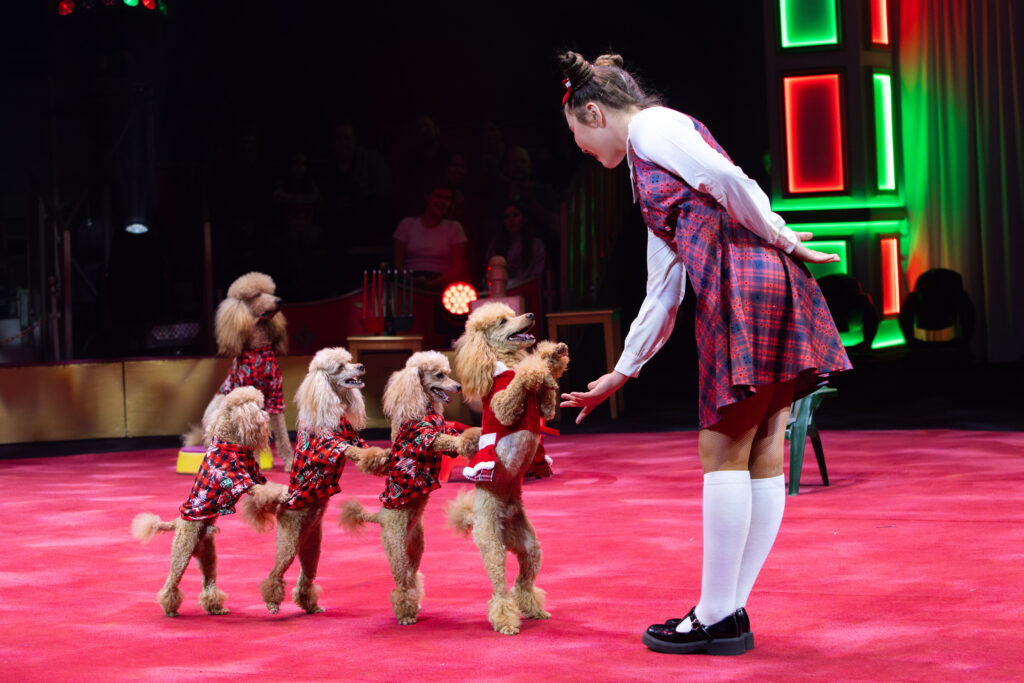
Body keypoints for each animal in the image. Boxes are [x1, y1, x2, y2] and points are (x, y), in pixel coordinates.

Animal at [132, 385, 290, 618]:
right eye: (257, 407)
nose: (266, 414)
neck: (229, 440)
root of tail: (178, 522)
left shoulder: (254, 475)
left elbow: (270, 485)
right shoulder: (241, 480)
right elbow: (267, 489)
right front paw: (285, 494)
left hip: (208, 556)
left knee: (208, 583)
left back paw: (215, 606)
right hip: (181, 553)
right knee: (171, 582)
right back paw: (170, 609)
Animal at [186, 272, 292, 471]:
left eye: (270, 291)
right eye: (256, 295)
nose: (279, 300)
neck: (258, 350)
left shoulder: (276, 395)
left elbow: (282, 431)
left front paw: (289, 462)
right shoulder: (243, 387)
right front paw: (254, 461)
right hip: (218, 404)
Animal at [243, 348, 387, 614]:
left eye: (349, 361)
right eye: (340, 367)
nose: (360, 366)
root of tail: (282, 505)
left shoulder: (352, 436)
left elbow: (363, 447)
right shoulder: (331, 444)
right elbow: (352, 451)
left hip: (311, 547)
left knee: (306, 577)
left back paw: (309, 605)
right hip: (288, 544)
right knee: (275, 574)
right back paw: (272, 602)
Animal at [337, 352, 477, 626]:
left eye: (447, 372)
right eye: (439, 375)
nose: (457, 387)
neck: (423, 407)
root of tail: (379, 517)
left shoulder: (441, 429)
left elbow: (452, 437)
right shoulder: (425, 438)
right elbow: (447, 440)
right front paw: (471, 439)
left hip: (415, 546)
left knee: (412, 576)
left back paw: (415, 601)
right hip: (396, 549)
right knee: (400, 583)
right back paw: (405, 613)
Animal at [450, 305, 569, 634]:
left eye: (512, 312)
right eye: (503, 321)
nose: (529, 315)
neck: (504, 360)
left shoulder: (544, 407)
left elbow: (546, 401)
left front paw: (551, 357)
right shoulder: (503, 405)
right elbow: (518, 385)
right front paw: (533, 368)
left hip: (529, 545)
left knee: (523, 582)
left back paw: (533, 608)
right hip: (492, 545)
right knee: (500, 588)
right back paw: (505, 620)